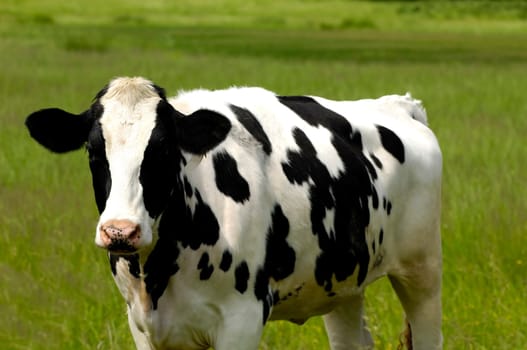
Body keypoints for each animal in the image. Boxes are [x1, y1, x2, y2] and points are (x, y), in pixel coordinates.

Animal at [26, 77, 444, 350]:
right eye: (93, 151)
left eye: (163, 150)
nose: (120, 231)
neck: (158, 274)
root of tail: (399, 104)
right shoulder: (142, 326)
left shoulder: (242, 318)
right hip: (341, 281)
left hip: (422, 270)